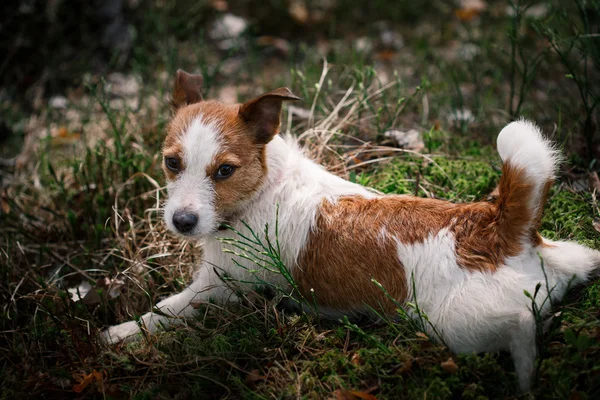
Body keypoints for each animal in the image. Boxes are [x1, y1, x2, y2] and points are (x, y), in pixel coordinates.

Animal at [103, 69, 600, 390]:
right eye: (172, 163)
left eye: (224, 170)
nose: (182, 221)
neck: (264, 187)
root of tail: (495, 225)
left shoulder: (216, 286)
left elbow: (165, 311)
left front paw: (120, 334)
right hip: (565, 260)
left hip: (454, 325)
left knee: (518, 324)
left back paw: (526, 373)